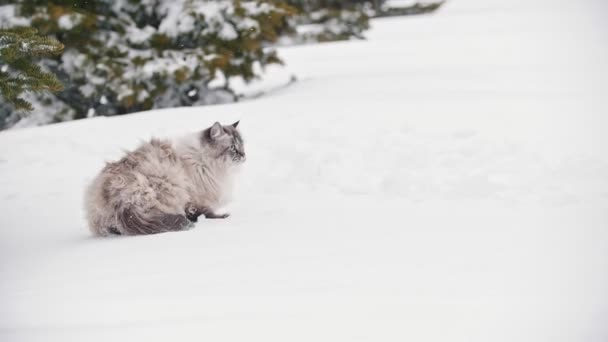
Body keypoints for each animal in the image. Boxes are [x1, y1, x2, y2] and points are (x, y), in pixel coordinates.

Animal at [85, 121, 245, 236]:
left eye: (242, 146)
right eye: (232, 148)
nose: (244, 156)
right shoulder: (197, 198)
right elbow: (207, 212)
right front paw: (222, 217)